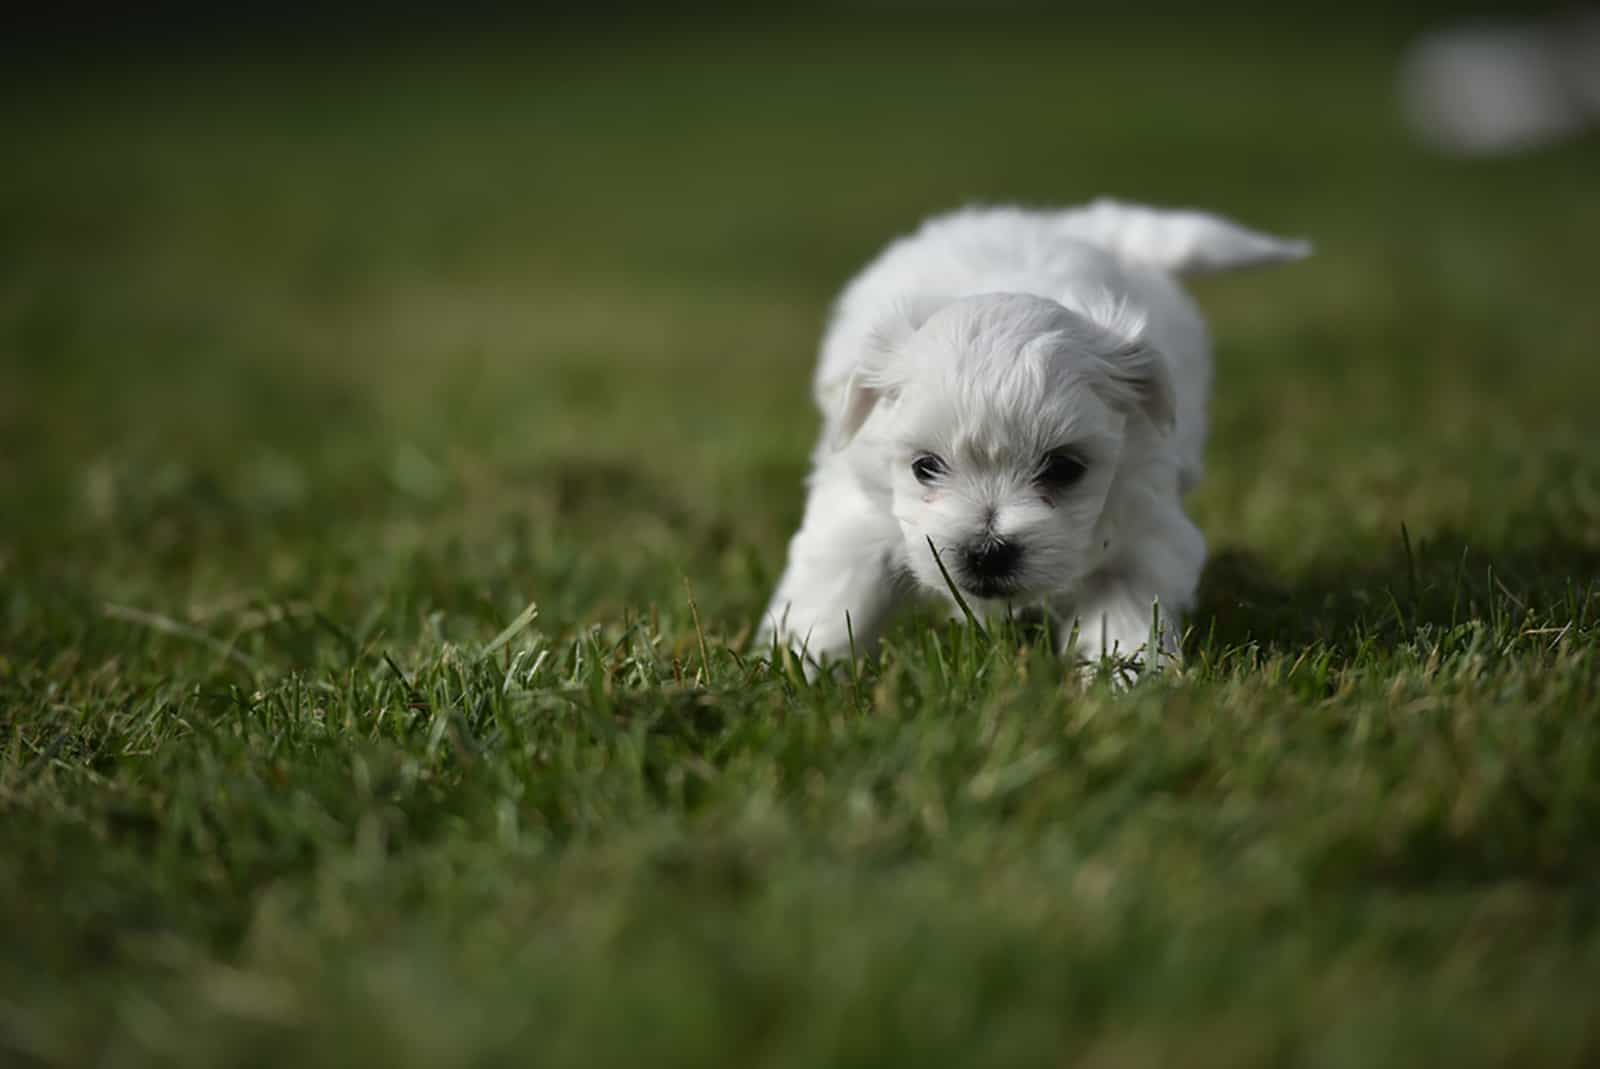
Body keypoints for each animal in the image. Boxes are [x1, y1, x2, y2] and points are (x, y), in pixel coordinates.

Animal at [755, 200, 1305, 672]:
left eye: (1064, 468)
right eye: (924, 466)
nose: (987, 551)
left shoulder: (1137, 531)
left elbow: (1125, 614)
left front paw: (1129, 688)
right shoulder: (857, 514)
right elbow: (832, 598)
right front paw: (795, 668)